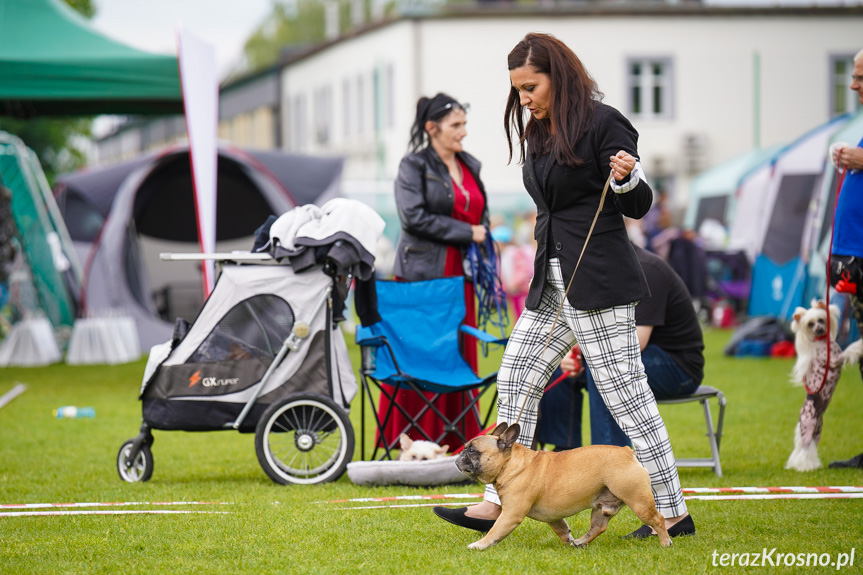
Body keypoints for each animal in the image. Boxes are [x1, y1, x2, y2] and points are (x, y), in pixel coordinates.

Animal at [788, 302, 860, 472]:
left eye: (821, 320)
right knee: (804, 450)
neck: (822, 342)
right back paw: (805, 467)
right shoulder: (834, 360)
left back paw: (813, 465)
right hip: (808, 429)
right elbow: (850, 349)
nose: (819, 329)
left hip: (817, 431)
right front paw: (860, 345)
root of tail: (801, 416)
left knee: (810, 448)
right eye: (810, 324)